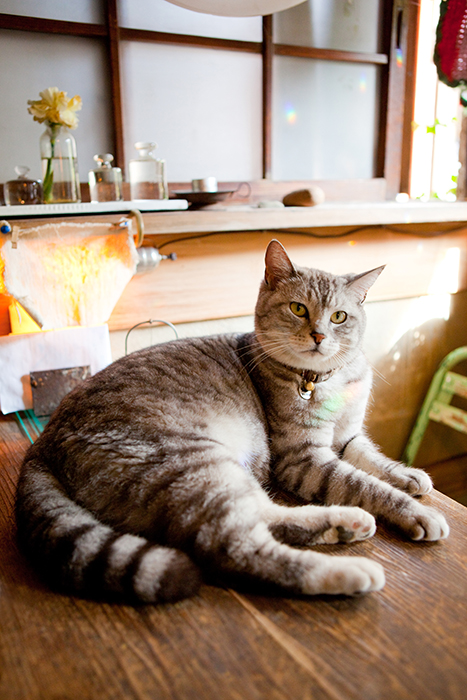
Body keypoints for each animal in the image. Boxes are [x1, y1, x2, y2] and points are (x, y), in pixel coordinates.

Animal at [16, 239, 450, 600]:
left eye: (340, 317)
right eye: (298, 308)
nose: (319, 336)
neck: (327, 380)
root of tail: (43, 443)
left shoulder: (347, 437)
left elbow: (374, 461)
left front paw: (409, 475)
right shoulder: (303, 459)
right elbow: (366, 485)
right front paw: (419, 513)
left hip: (222, 474)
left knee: (268, 516)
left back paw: (344, 522)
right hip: (194, 465)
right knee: (236, 550)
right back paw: (349, 572)